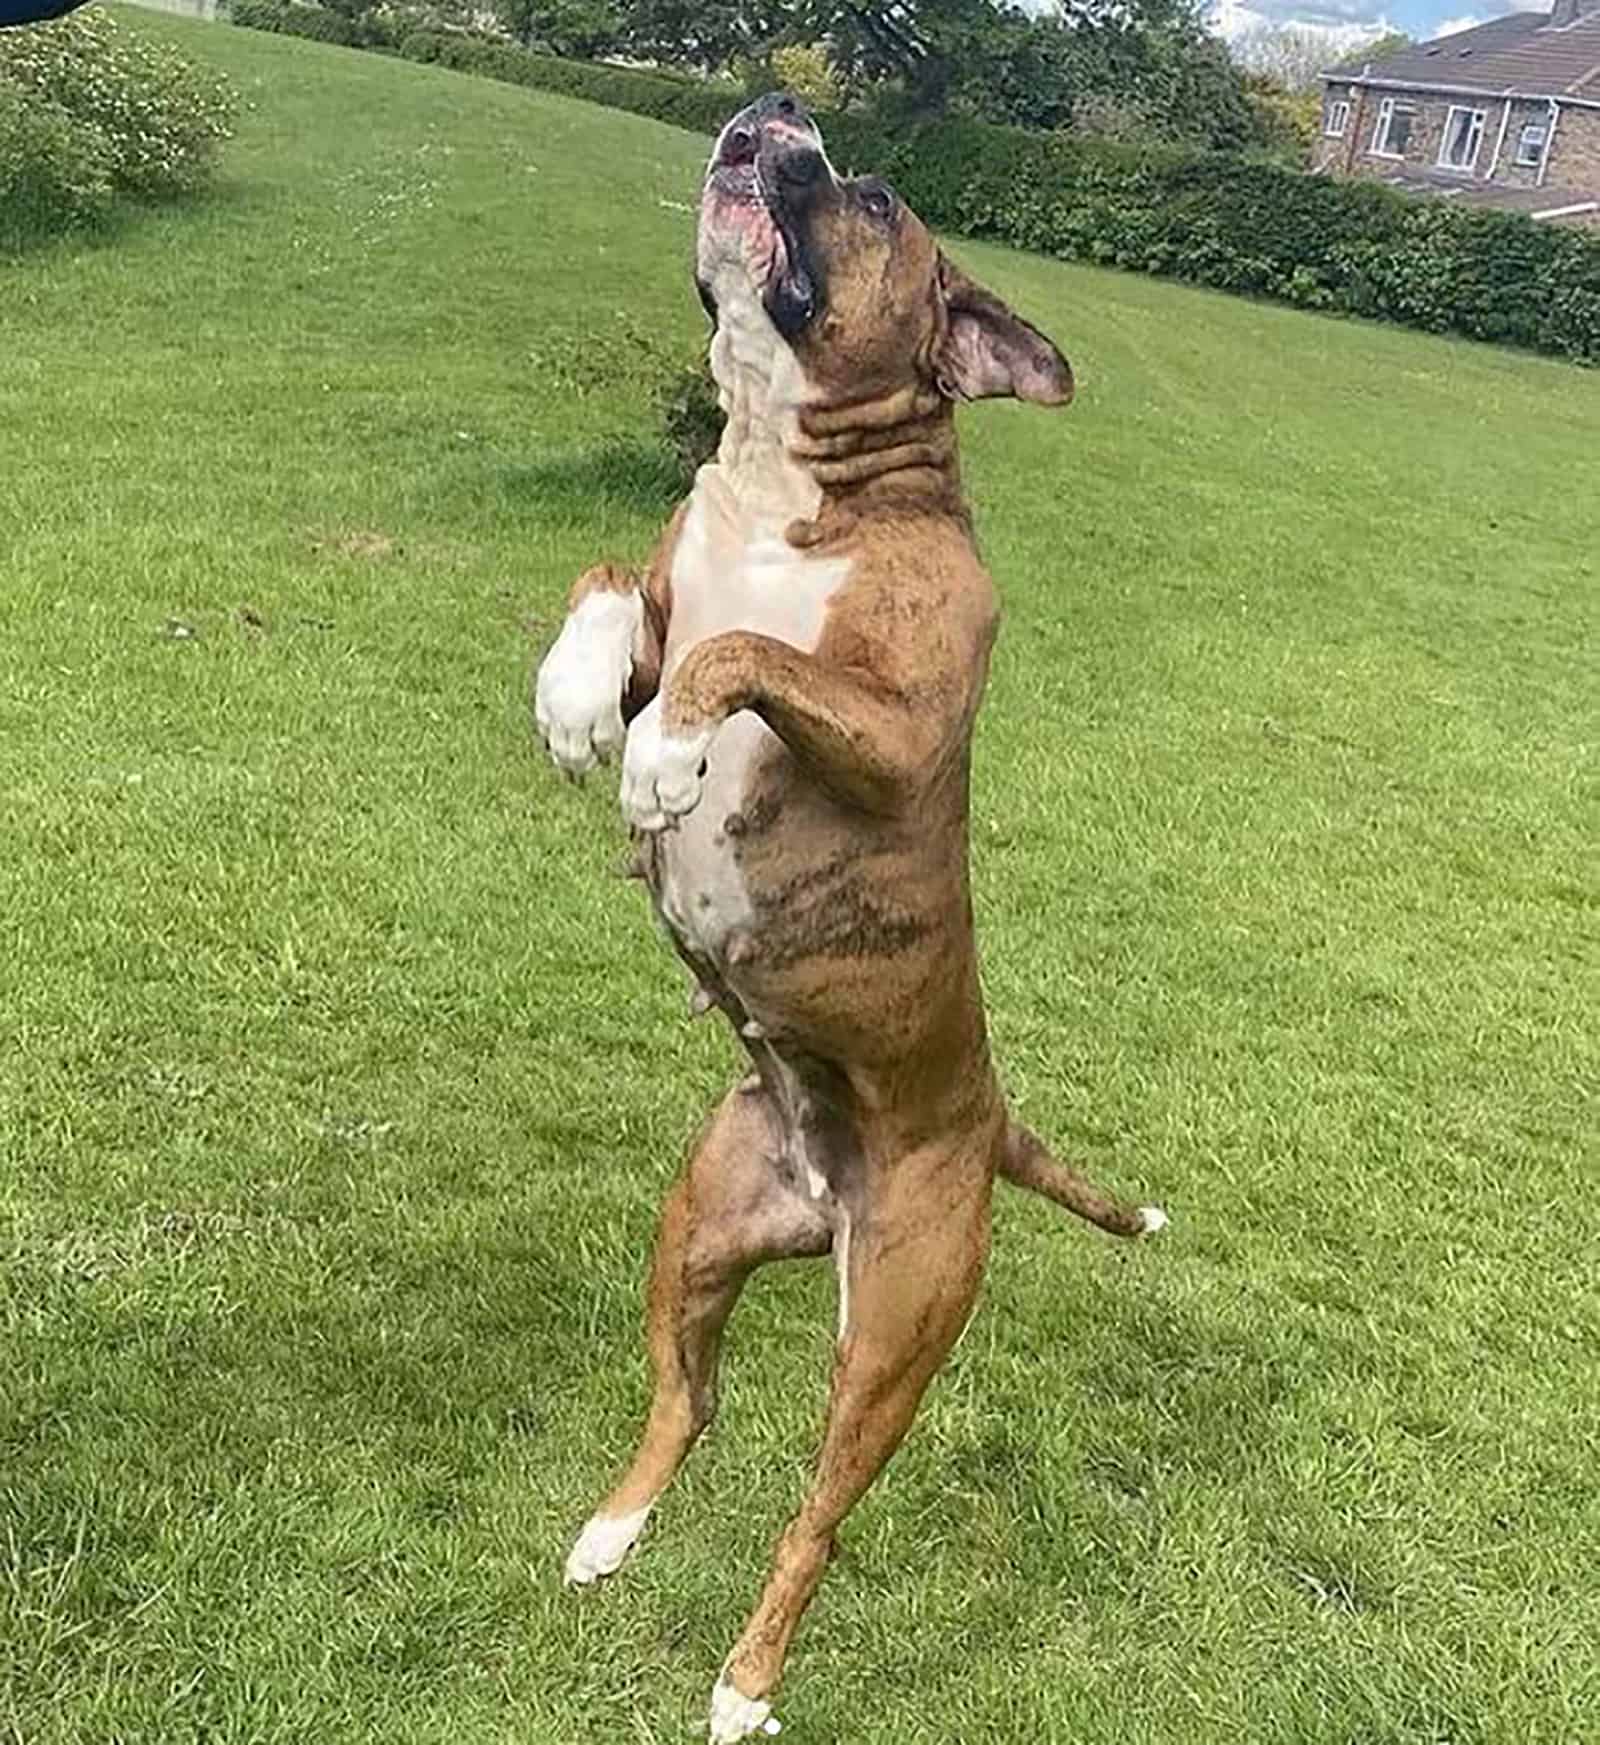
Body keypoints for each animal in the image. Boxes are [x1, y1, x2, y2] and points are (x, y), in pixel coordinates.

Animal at [530, 92, 1165, 1745]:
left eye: (872, 197)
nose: (773, 115)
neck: (780, 479)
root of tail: (986, 1117)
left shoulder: (889, 728)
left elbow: (743, 655)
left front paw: (664, 757)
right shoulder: (664, 590)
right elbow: (613, 587)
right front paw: (577, 706)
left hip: (890, 1341)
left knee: (813, 1520)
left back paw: (745, 1683)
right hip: (695, 1232)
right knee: (688, 1401)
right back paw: (611, 1532)